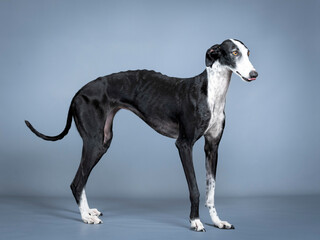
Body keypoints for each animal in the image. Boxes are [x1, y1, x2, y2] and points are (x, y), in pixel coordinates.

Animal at [26, 39, 258, 231]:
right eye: (234, 52)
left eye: (248, 52)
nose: (254, 74)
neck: (211, 92)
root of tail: (78, 93)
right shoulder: (184, 144)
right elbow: (195, 189)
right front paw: (195, 221)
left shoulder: (212, 147)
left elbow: (211, 190)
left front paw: (217, 221)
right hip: (93, 141)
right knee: (76, 182)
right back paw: (85, 217)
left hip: (103, 142)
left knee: (81, 180)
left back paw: (88, 211)